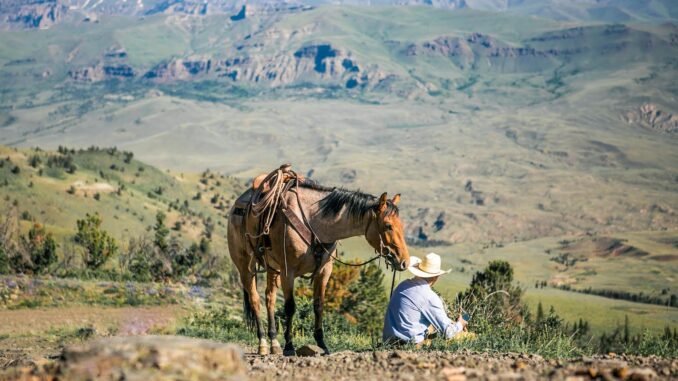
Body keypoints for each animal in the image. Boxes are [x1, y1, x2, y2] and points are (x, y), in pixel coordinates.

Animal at [228, 167, 412, 356]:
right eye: (388, 226)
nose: (404, 262)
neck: (313, 221)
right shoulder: (288, 271)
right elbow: (290, 307)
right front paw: (289, 346)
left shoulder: (324, 271)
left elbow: (319, 306)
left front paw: (322, 344)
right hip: (246, 267)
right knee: (255, 300)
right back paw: (263, 344)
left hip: (273, 268)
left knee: (269, 297)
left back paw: (274, 343)